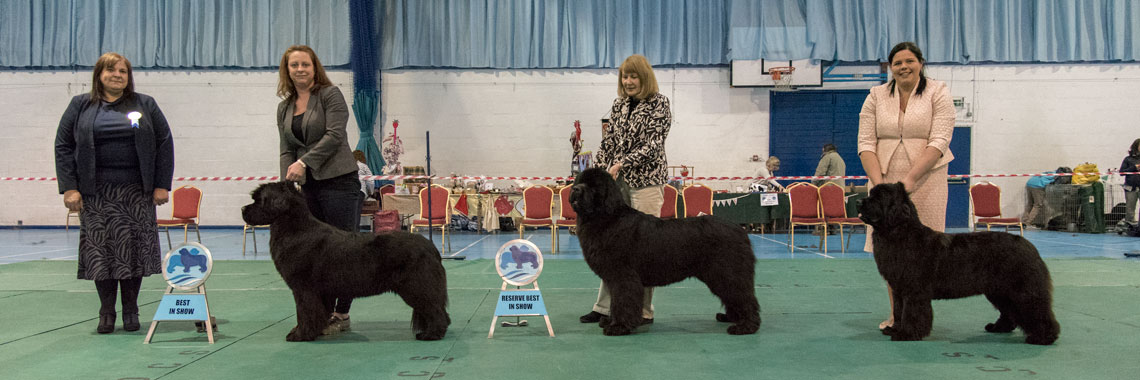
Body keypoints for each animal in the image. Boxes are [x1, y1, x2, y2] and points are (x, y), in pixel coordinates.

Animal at [241, 180, 449, 340]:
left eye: (258, 200)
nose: (243, 208)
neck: (295, 229)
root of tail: (431, 247)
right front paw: (313, 331)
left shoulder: (303, 288)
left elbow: (304, 312)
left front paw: (300, 335)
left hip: (417, 285)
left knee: (435, 309)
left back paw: (432, 334)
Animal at [567, 167, 756, 335]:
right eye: (579, 181)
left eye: (593, 186)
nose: (575, 189)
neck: (606, 217)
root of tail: (739, 230)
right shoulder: (614, 277)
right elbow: (615, 301)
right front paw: (610, 321)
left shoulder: (623, 276)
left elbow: (622, 300)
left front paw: (618, 327)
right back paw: (731, 318)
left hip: (727, 272)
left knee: (744, 296)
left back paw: (746, 326)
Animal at [861, 180, 1057, 342]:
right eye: (871, 194)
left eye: (879, 198)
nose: (860, 201)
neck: (900, 233)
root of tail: (1029, 245)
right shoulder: (899, 289)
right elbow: (898, 310)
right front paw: (895, 329)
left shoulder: (914, 290)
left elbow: (911, 312)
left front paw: (907, 334)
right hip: (999, 290)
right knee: (1009, 311)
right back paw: (998, 328)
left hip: (1021, 290)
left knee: (1036, 310)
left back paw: (1043, 337)